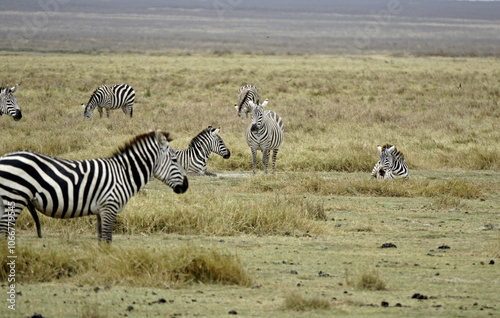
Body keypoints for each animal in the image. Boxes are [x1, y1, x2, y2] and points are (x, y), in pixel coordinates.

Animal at [0, 129, 188, 241]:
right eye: (174, 160)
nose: (185, 186)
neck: (124, 174)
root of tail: (4, 157)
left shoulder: (101, 210)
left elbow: (101, 239)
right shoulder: (109, 207)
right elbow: (107, 239)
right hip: (14, 198)